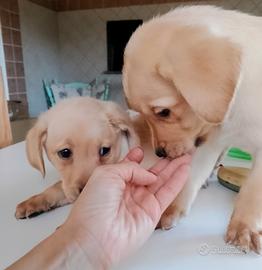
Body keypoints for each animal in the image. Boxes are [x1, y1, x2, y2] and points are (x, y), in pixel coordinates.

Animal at [124, 5, 262, 252]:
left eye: (163, 112)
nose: (160, 153)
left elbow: (254, 190)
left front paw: (244, 226)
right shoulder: (209, 144)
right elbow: (191, 177)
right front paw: (172, 209)